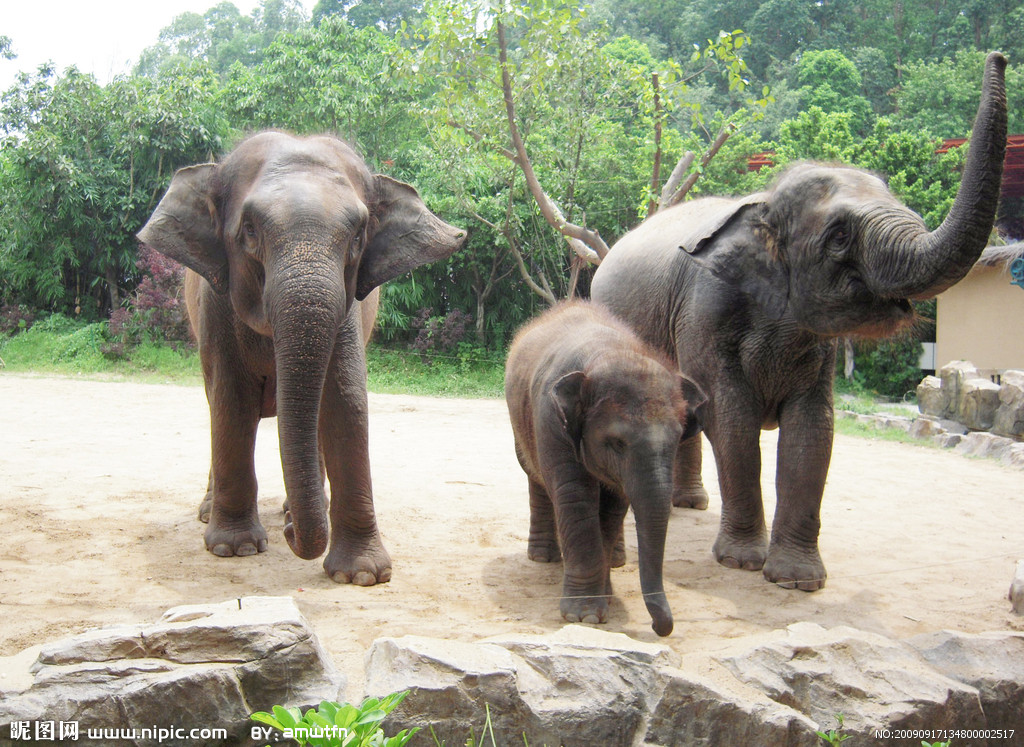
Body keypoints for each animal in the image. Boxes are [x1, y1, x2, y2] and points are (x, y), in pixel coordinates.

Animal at [138, 129, 466, 582]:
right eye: (250, 231)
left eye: (358, 236)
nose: (291, 534)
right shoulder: (217, 304)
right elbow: (232, 400)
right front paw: (235, 549)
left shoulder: (347, 308)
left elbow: (345, 401)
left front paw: (361, 575)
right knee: (214, 402)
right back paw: (212, 512)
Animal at [503, 299, 704, 631]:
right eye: (616, 443)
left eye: (677, 440)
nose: (659, 627)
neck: (609, 352)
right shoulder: (551, 420)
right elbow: (576, 497)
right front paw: (584, 615)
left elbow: (612, 507)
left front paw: (604, 598)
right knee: (535, 478)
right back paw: (542, 557)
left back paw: (616, 561)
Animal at [593, 50, 1007, 590]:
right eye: (838, 237)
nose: (1000, 56)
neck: (762, 203)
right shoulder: (706, 311)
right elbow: (732, 419)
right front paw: (741, 563)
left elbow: (814, 430)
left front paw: (796, 581)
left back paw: (689, 505)